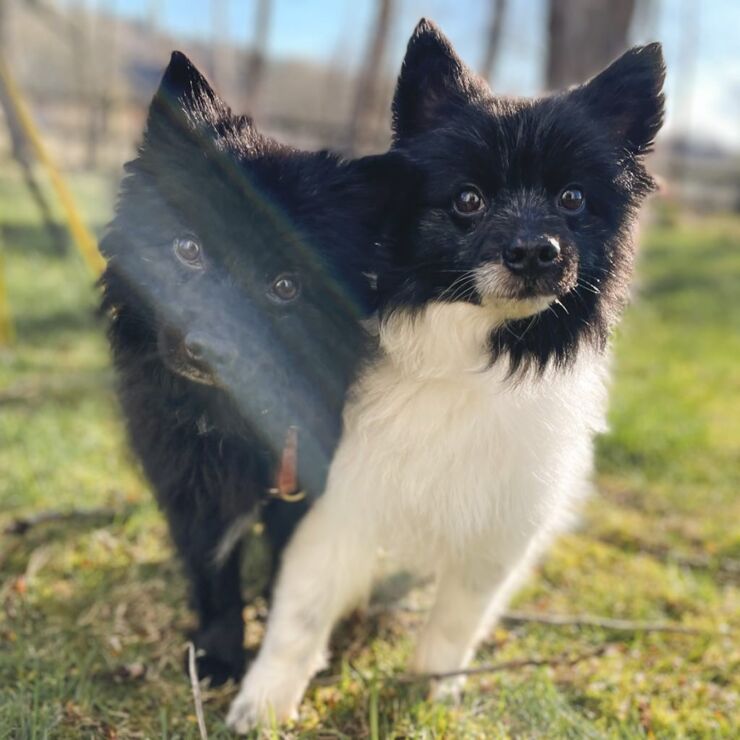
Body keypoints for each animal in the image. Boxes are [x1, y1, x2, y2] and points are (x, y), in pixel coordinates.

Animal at [227, 20, 664, 732]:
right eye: (468, 200)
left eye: (572, 199)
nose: (535, 252)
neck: (470, 352)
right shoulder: (342, 500)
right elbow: (303, 610)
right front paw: (263, 702)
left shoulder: (500, 528)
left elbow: (457, 620)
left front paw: (432, 690)